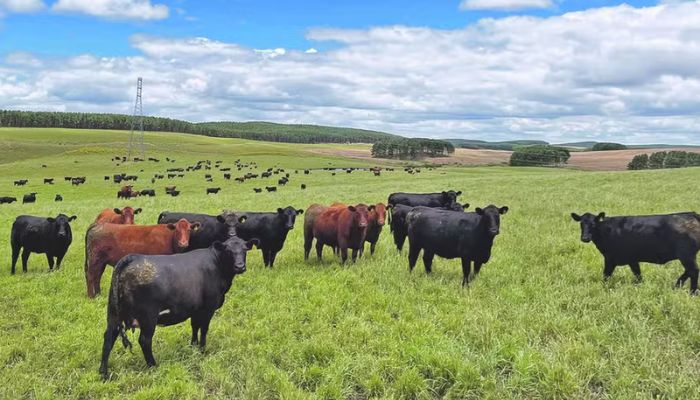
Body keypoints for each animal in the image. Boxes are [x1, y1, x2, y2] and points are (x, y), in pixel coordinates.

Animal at [98, 235, 257, 379]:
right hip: (149, 316)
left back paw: (103, 373)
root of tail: (132, 258)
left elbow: (195, 326)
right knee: (144, 340)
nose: (240, 266)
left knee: (109, 337)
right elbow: (204, 329)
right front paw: (203, 350)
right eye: (228, 251)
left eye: (244, 249)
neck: (217, 263)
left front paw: (193, 346)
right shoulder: (208, 308)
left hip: (113, 313)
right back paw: (153, 365)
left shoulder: (196, 309)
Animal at [571, 212, 700, 294]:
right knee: (690, 271)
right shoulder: (632, 259)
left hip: (686, 255)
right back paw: (677, 286)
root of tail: (691, 214)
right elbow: (638, 275)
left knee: (693, 270)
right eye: (581, 224)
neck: (607, 230)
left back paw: (692, 292)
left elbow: (606, 275)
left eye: (593, 224)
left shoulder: (610, 258)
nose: (585, 238)